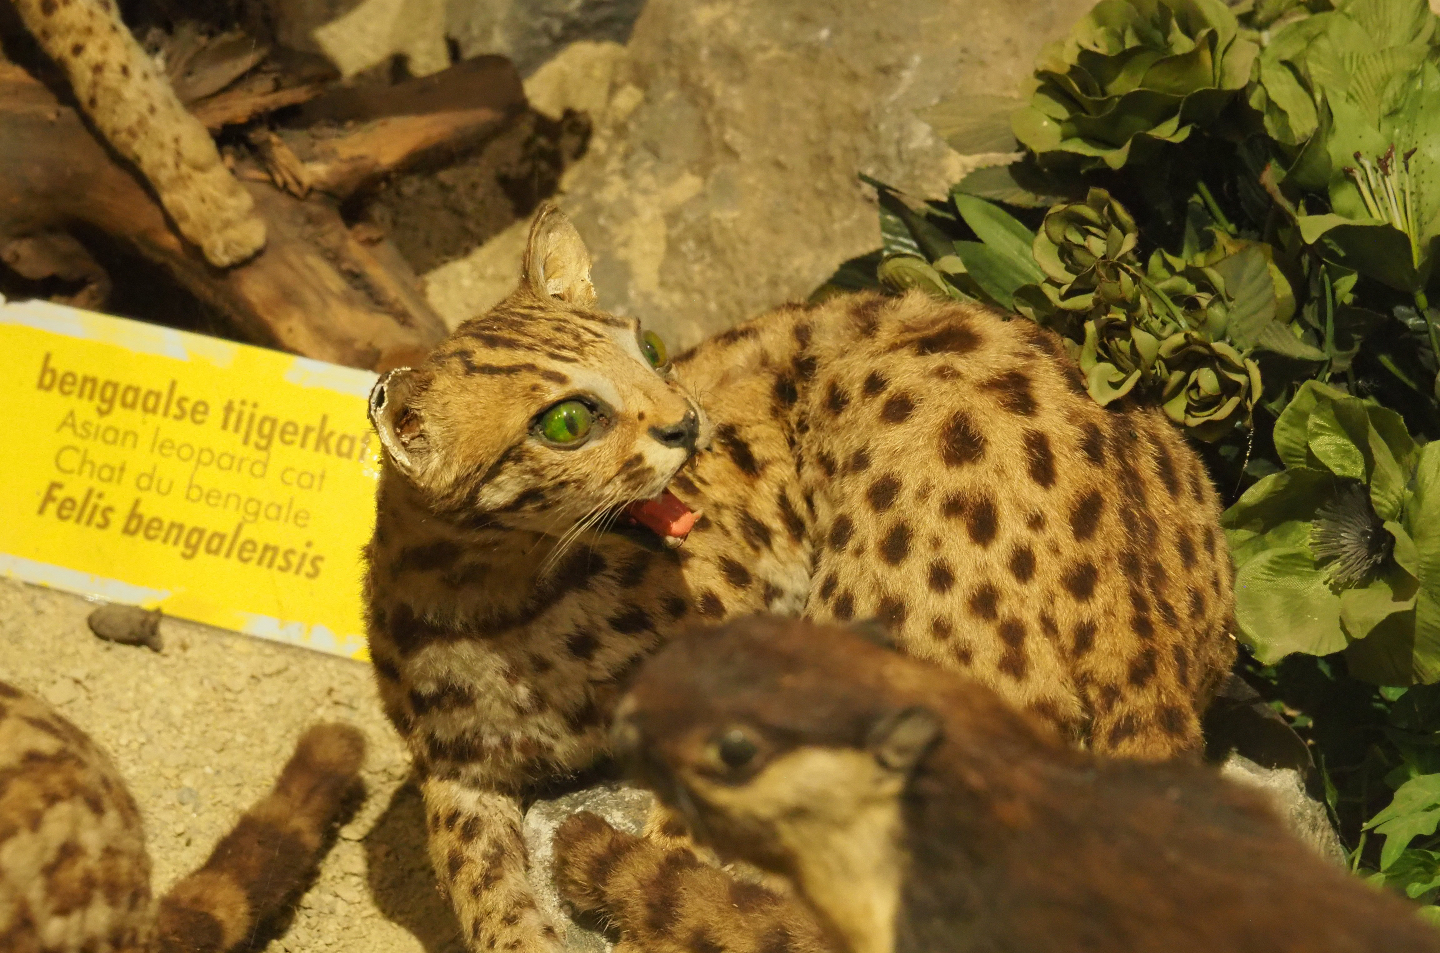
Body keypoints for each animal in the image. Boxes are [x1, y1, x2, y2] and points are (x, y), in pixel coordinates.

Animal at [361, 201, 1238, 953]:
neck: (506, 604)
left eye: (650, 350)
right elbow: (482, 890)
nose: (688, 423)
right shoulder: (453, 772)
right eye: (569, 421)